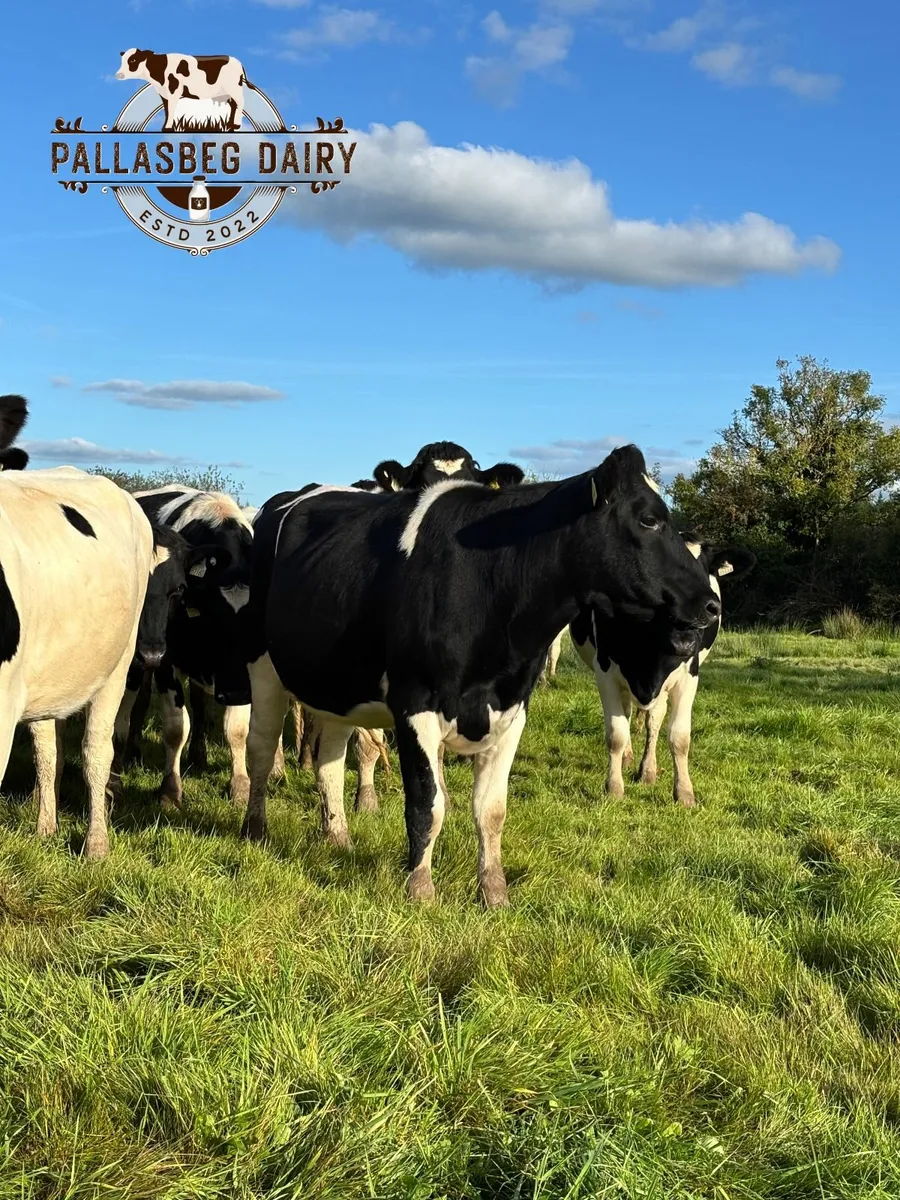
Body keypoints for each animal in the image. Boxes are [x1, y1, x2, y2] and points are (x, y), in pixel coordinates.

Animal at [115, 50, 256, 131]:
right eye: (122, 60)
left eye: (133, 59)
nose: (119, 74)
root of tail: (238, 62)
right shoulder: (164, 94)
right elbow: (167, 110)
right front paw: (166, 127)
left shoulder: (173, 91)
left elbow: (171, 109)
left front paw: (168, 127)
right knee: (233, 105)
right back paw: (229, 124)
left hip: (234, 88)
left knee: (240, 103)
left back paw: (236, 125)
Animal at [239, 445, 721, 907]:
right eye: (648, 519)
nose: (711, 604)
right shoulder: (414, 705)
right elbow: (427, 804)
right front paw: (420, 889)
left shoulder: (512, 709)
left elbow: (491, 809)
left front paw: (493, 892)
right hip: (262, 665)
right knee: (260, 747)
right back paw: (254, 829)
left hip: (337, 687)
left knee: (331, 761)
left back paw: (337, 836)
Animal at [571, 532, 755, 806]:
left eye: (704, 576)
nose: (685, 643)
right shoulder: (605, 671)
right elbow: (615, 734)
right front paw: (614, 788)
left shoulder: (689, 676)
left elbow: (679, 737)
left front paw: (685, 793)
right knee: (627, 714)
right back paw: (628, 759)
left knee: (654, 720)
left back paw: (647, 770)